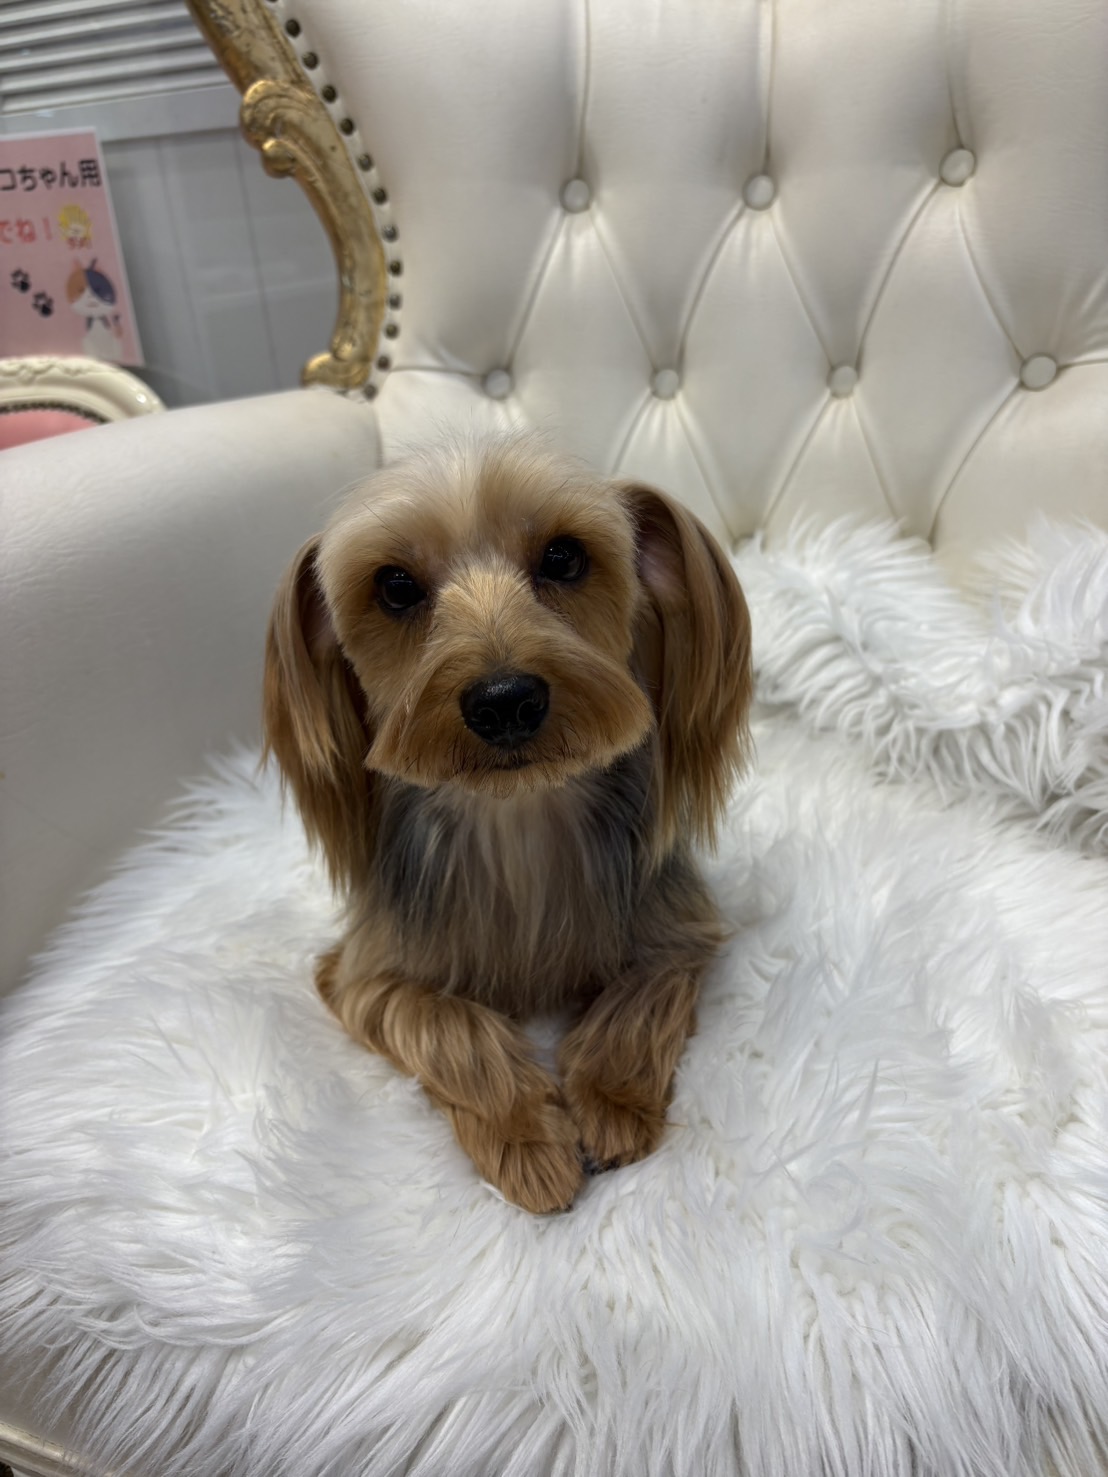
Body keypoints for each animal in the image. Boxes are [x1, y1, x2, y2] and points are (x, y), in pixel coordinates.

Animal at [264, 437, 752, 1213]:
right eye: (394, 586)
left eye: (563, 557)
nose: (504, 698)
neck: (518, 815)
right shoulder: (363, 973)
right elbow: (446, 1022)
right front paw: (528, 1141)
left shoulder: (677, 931)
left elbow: (642, 996)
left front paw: (610, 1104)